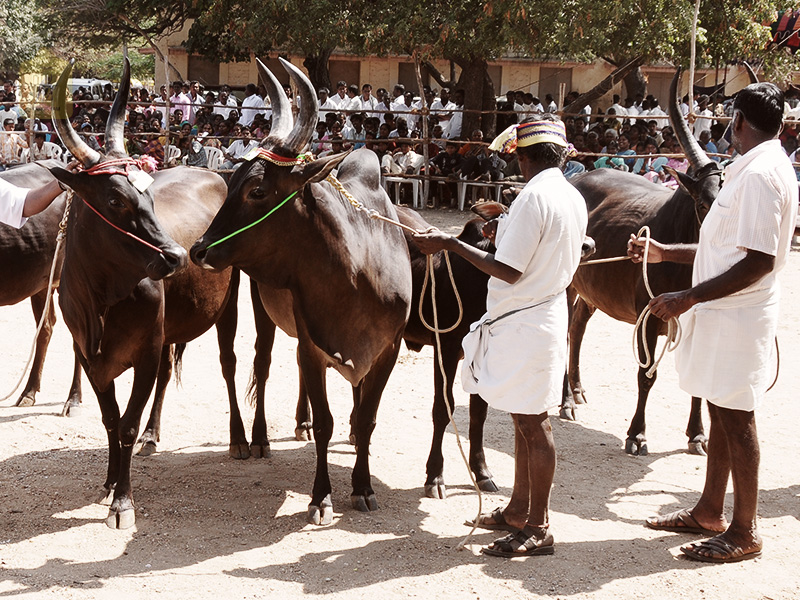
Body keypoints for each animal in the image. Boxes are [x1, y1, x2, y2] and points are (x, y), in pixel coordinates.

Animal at [189, 57, 412, 524]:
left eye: (258, 189)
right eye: (231, 182)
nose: (200, 249)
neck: (354, 274)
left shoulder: (387, 349)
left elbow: (366, 419)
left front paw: (362, 486)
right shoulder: (313, 344)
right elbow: (327, 420)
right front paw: (321, 496)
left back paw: (303, 421)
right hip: (257, 305)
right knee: (259, 363)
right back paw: (255, 438)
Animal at [564, 69, 720, 454]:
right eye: (704, 202)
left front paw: (697, 433)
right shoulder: (648, 318)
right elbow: (646, 375)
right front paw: (637, 433)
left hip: (594, 291)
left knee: (578, 327)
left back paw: (577, 389)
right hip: (568, 284)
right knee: (566, 331)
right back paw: (567, 401)